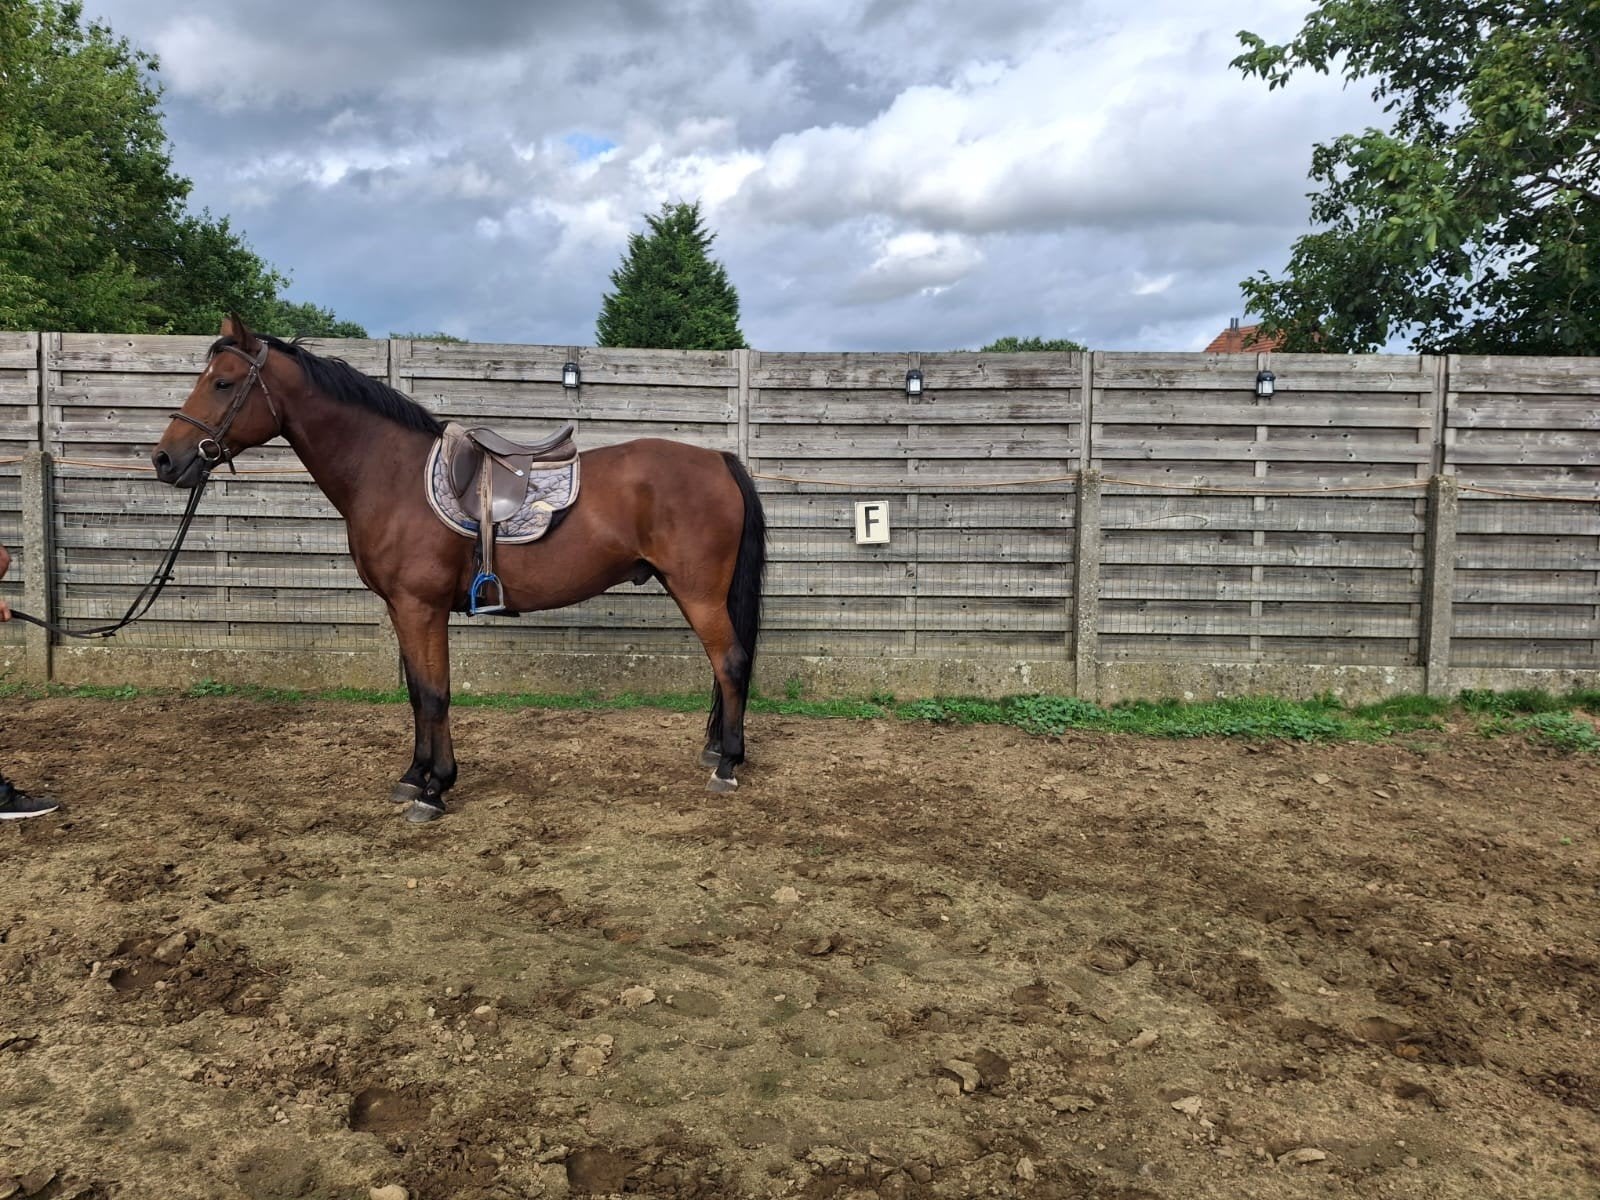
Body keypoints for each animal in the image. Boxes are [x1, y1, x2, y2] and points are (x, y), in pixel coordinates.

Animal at [152, 316, 765, 822]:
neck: (389, 474)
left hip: (698, 592)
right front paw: (414, 776)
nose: (164, 459)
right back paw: (716, 748)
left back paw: (727, 765)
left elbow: (434, 694)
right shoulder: (401, 609)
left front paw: (434, 789)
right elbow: (418, 694)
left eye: (223, 383)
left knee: (731, 662)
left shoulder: (420, 607)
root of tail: (719, 460)